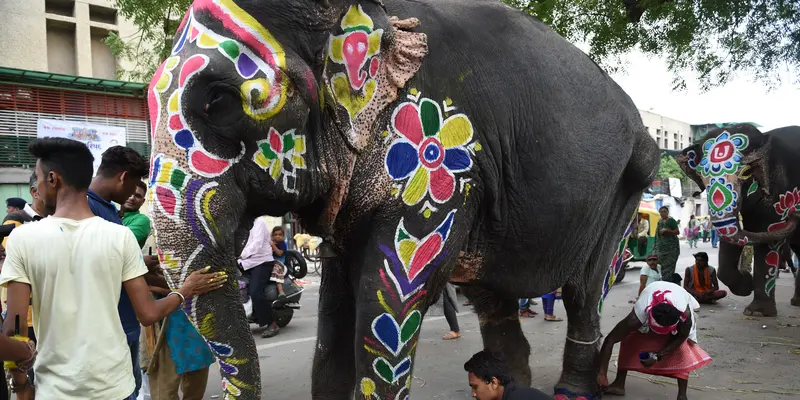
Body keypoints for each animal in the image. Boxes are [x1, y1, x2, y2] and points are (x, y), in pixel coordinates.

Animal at [147, 0, 660, 398]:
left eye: (219, 102)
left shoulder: (447, 166)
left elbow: (392, 294)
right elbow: (336, 301)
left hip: (627, 188)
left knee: (584, 290)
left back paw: (573, 389)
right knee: (491, 296)